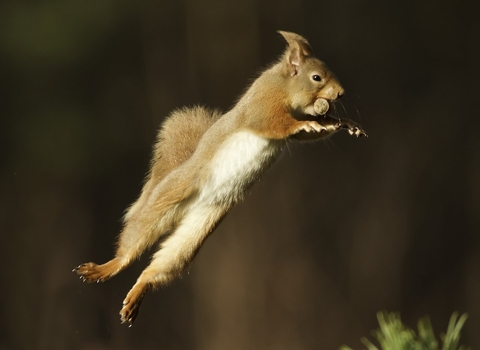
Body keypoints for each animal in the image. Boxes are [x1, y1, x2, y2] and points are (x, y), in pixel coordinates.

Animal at [74, 30, 368, 326]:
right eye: (316, 77)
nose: (341, 93)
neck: (286, 87)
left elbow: (306, 134)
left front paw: (344, 124)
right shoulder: (263, 105)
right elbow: (276, 123)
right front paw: (311, 122)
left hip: (198, 229)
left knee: (160, 265)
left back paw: (137, 294)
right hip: (167, 198)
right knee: (131, 244)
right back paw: (106, 268)